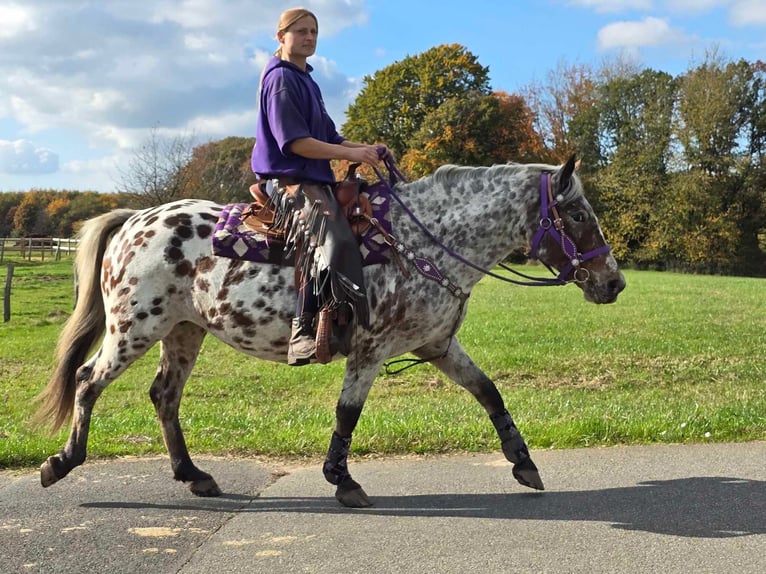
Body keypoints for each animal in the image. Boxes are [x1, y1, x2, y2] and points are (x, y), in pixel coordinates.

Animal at [33, 154, 628, 508]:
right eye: (577, 215)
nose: (614, 281)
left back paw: (194, 474)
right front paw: (343, 480)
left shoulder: (438, 344)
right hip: (134, 327)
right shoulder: (369, 351)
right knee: (88, 380)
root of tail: (137, 218)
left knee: (164, 396)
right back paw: (62, 463)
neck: (423, 242)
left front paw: (524, 464)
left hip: (183, 331)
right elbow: (348, 413)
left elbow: (489, 392)